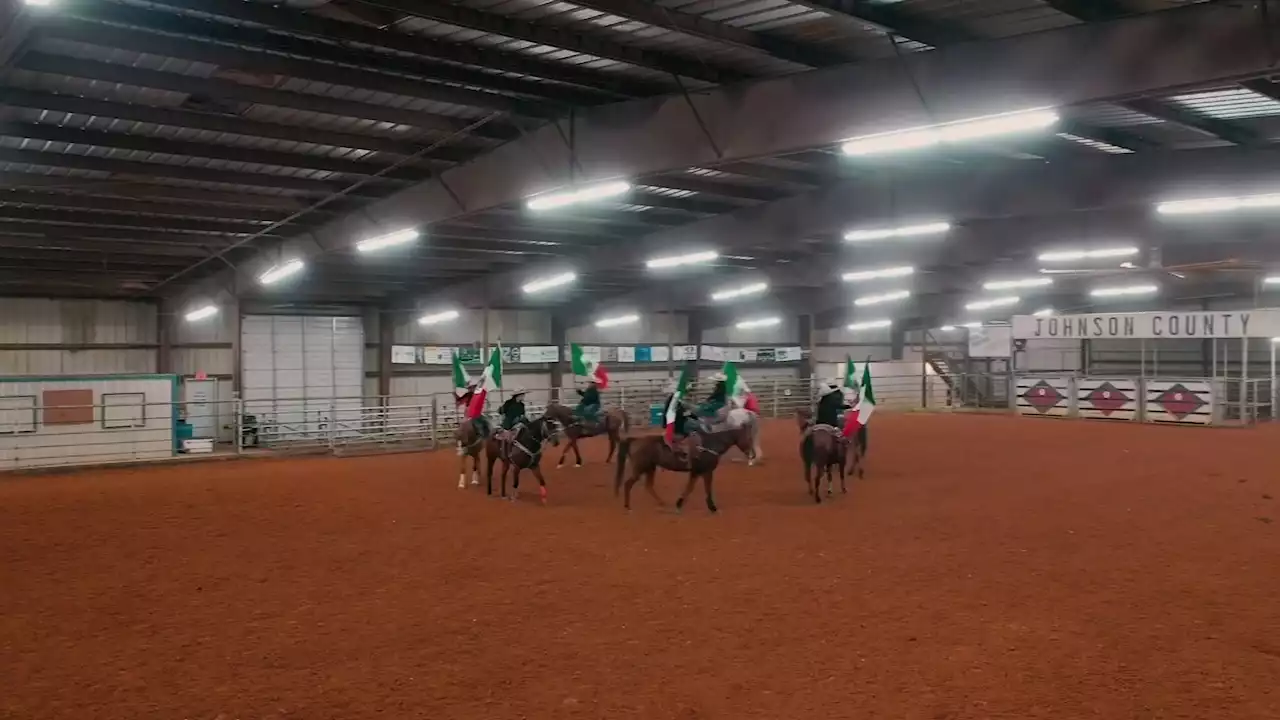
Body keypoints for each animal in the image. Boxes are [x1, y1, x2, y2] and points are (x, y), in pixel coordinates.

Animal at [611, 422, 752, 512]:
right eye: (747, 438)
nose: (751, 453)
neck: (710, 444)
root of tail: (635, 440)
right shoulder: (705, 471)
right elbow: (703, 488)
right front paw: (712, 507)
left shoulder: (696, 472)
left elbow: (691, 488)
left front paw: (679, 503)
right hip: (640, 468)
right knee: (628, 484)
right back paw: (628, 506)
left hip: (650, 468)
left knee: (648, 486)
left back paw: (661, 503)